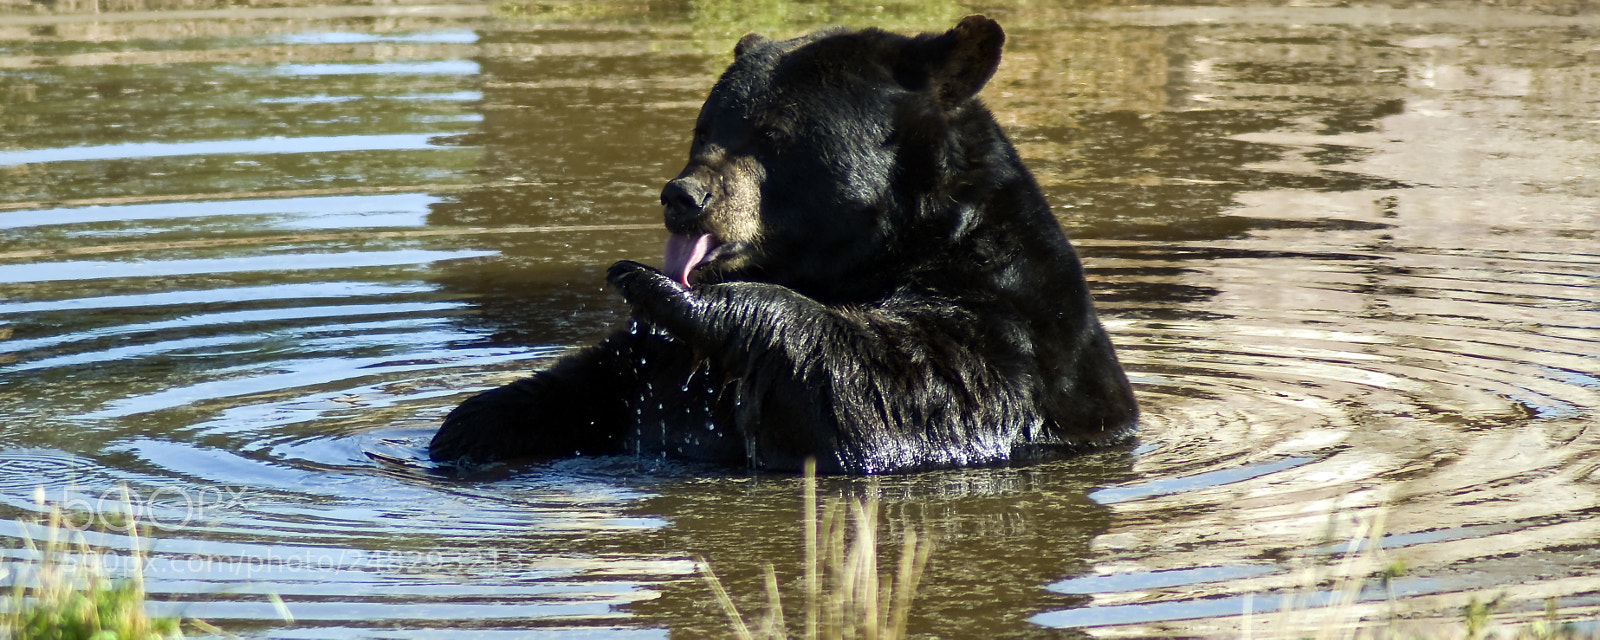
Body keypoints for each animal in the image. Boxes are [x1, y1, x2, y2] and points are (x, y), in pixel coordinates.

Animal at [428, 15, 1139, 474]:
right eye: (706, 126)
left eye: (773, 133)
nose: (684, 196)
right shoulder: (659, 372)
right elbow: (599, 380)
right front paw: (468, 425)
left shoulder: (1008, 326)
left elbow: (885, 394)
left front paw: (658, 288)